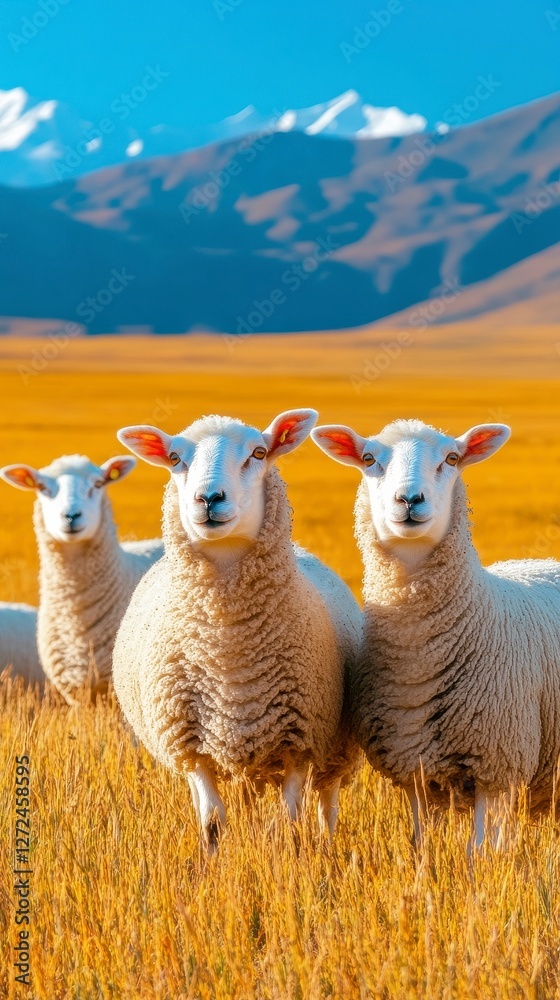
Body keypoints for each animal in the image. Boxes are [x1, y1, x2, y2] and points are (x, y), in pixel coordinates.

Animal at [112, 409, 362, 852]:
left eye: (258, 453)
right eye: (175, 458)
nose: (209, 499)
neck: (228, 648)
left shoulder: (297, 742)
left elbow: (290, 822)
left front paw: (290, 859)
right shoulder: (190, 746)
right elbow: (212, 822)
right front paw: (212, 862)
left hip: (333, 751)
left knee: (326, 804)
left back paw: (329, 846)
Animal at [312, 417, 560, 848]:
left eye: (452, 458)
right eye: (368, 458)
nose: (410, 499)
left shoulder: (497, 770)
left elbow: (479, 851)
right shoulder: (415, 772)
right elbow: (422, 844)